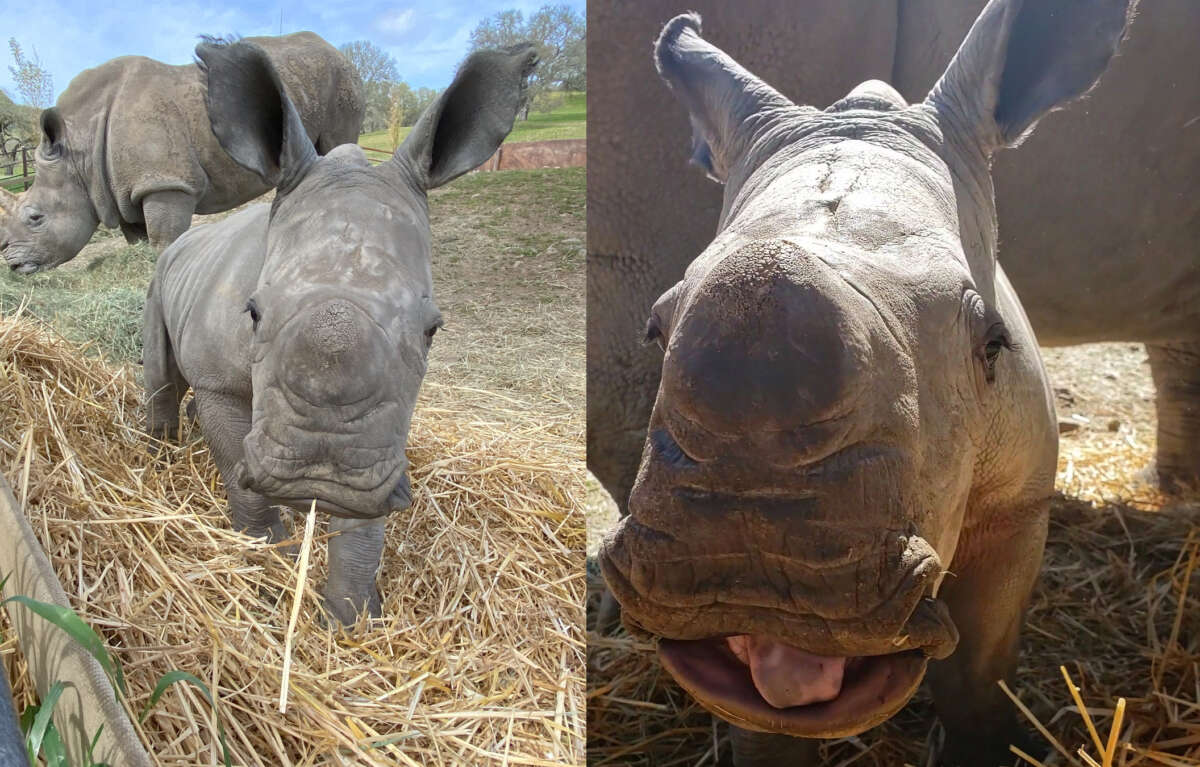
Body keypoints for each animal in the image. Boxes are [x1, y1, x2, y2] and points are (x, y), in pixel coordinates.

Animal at [0, 31, 364, 274]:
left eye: (36, 217)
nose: (12, 263)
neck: (80, 154)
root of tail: (335, 49)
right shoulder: (128, 189)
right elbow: (143, 241)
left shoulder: (165, 183)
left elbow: (165, 241)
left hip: (340, 78)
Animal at [141, 39, 536, 625]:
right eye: (252, 313)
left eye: (433, 331)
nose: (315, 481)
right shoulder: (221, 382)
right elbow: (237, 466)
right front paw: (266, 549)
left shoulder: (381, 430)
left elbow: (365, 511)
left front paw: (354, 615)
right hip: (162, 272)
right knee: (161, 368)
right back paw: (158, 449)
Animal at [596, 1, 1133, 764]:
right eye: (654, 330)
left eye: (992, 345)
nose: (757, 585)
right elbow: (760, 724)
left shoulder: (1019, 502)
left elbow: (978, 677)